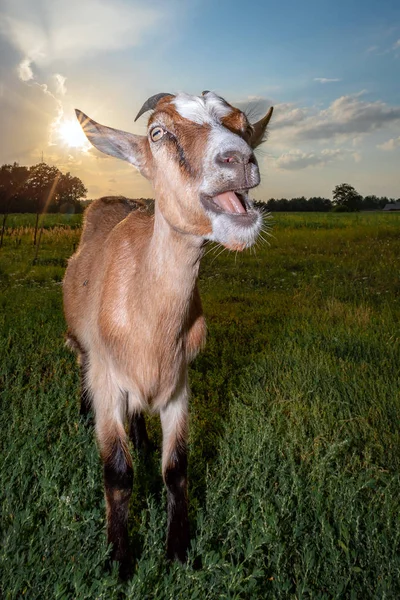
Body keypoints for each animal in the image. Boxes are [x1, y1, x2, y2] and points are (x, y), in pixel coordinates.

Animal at [62, 90, 274, 576]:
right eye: (158, 132)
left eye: (243, 125)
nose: (238, 158)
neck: (150, 330)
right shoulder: (107, 381)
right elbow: (117, 472)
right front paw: (120, 562)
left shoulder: (179, 385)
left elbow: (176, 468)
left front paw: (177, 551)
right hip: (84, 352)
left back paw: (142, 439)